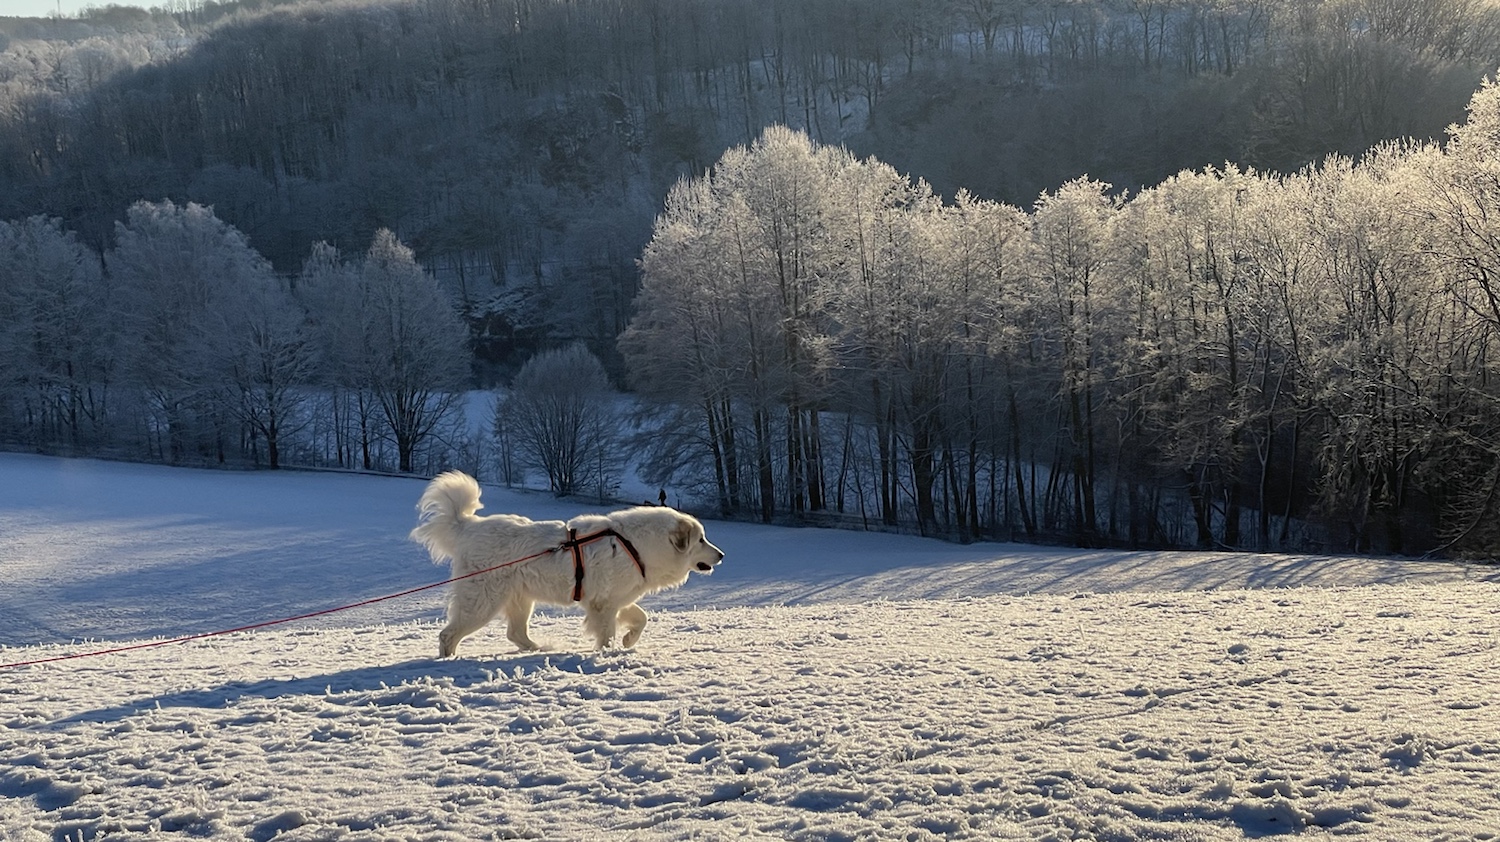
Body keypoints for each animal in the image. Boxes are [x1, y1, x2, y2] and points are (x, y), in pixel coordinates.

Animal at [410, 471, 724, 656]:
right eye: (701, 540)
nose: (721, 555)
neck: (638, 544)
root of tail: (469, 526)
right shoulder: (603, 604)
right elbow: (607, 633)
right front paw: (609, 653)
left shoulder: (615, 600)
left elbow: (641, 618)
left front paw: (628, 642)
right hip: (482, 602)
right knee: (448, 634)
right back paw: (449, 660)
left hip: (519, 600)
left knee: (515, 633)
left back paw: (538, 649)